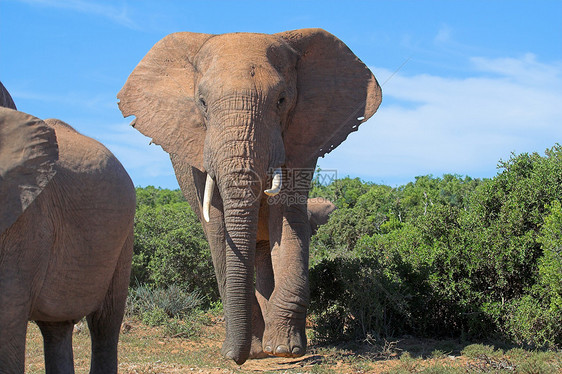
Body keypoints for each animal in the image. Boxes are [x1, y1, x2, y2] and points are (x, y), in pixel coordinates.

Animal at [118, 27, 380, 364]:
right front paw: (253, 351)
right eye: (202, 102)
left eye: (282, 100)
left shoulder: (302, 135)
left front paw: (284, 349)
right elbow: (217, 226)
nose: (234, 356)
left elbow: (288, 217)